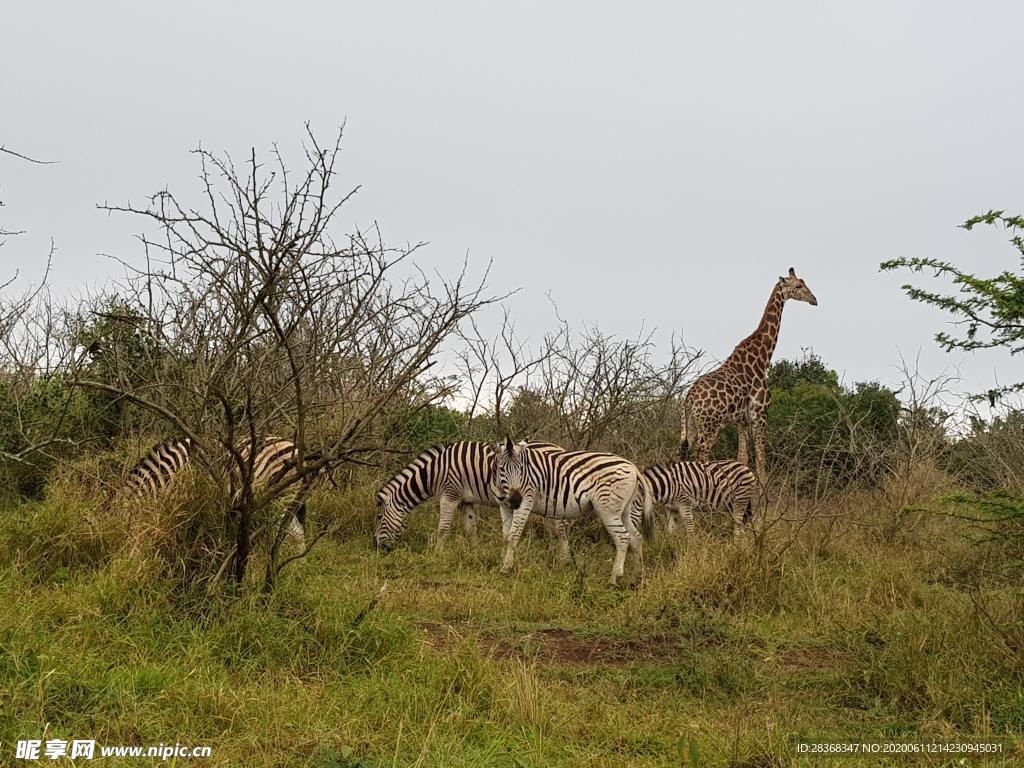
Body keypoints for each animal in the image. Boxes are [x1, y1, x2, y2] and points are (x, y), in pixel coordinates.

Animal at [374, 438, 573, 561]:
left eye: (379, 518)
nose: (375, 546)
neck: (435, 472)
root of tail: (560, 448)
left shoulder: (450, 495)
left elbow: (443, 529)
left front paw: (437, 555)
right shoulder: (465, 501)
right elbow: (471, 529)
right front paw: (474, 554)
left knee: (562, 532)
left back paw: (562, 563)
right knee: (554, 532)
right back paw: (551, 560)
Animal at [679, 266, 815, 481]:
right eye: (799, 286)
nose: (814, 299)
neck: (761, 358)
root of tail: (689, 399)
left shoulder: (741, 421)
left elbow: (742, 458)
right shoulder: (760, 413)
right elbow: (760, 461)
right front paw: (765, 491)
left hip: (690, 425)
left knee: (682, 456)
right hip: (710, 426)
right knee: (700, 458)